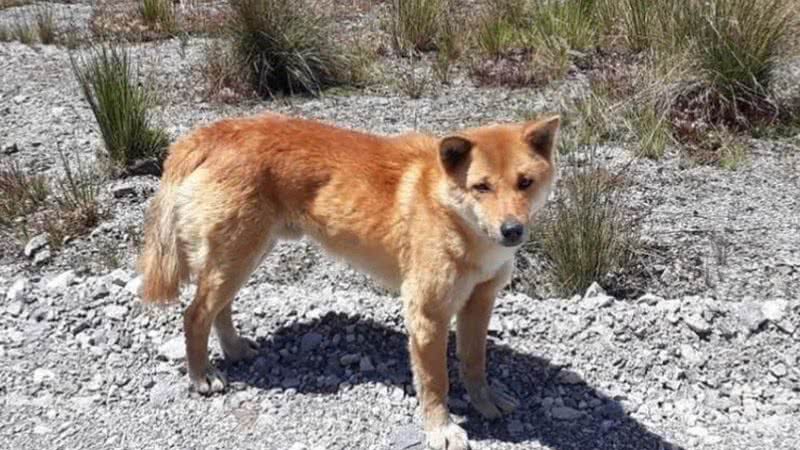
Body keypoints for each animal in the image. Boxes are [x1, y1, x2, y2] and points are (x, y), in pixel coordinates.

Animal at [138, 111, 560, 446]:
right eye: (481, 187)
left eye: (525, 182)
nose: (512, 230)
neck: (453, 215)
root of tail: (212, 131)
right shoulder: (427, 314)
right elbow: (435, 381)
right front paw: (441, 429)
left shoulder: (479, 302)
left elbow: (474, 362)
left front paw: (486, 401)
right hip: (235, 259)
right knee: (195, 315)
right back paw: (202, 376)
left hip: (244, 257)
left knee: (219, 310)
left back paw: (234, 349)